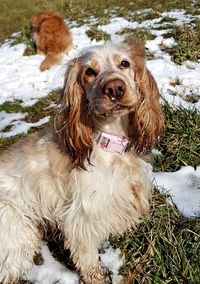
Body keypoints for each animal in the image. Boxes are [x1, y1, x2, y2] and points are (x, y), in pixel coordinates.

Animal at [0, 38, 163, 284]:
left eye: (124, 63)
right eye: (89, 72)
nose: (115, 88)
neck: (109, 141)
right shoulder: (82, 216)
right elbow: (86, 256)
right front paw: (96, 277)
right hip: (16, 233)